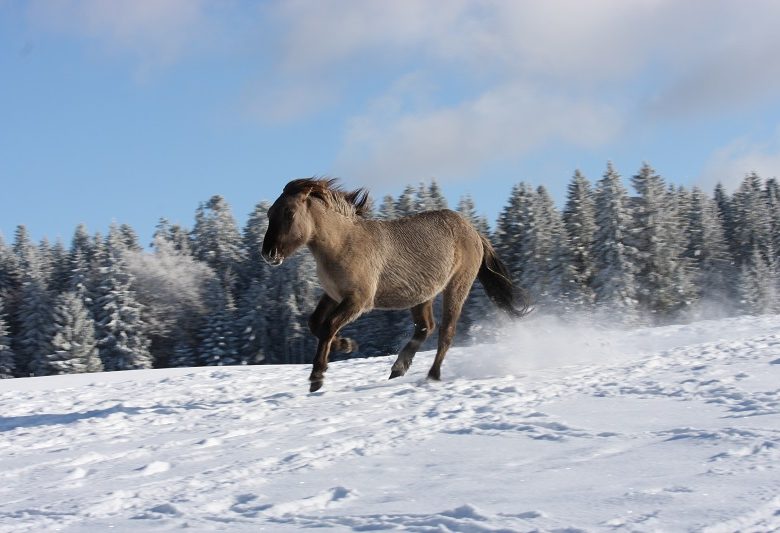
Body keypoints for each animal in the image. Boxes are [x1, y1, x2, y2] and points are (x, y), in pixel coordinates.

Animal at [262, 179, 532, 390]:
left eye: (289, 213)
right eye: (269, 213)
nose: (268, 253)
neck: (342, 244)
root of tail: (474, 232)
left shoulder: (358, 300)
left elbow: (328, 326)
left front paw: (317, 376)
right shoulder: (333, 295)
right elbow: (315, 324)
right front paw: (346, 345)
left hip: (457, 286)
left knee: (446, 332)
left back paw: (432, 376)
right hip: (423, 294)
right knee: (426, 327)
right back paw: (398, 368)